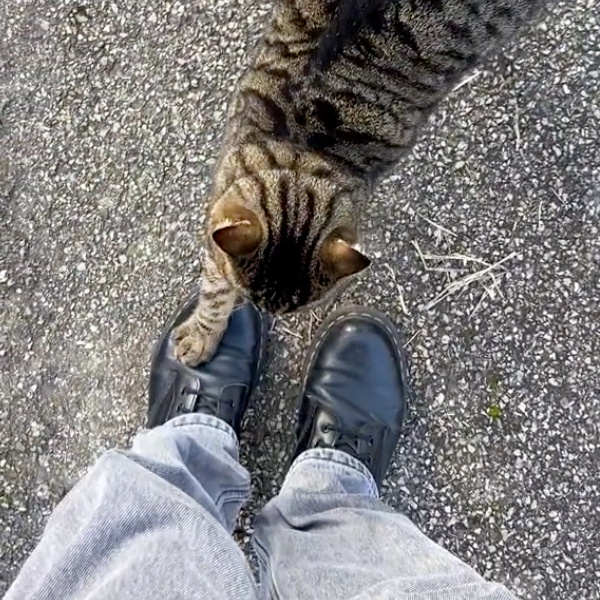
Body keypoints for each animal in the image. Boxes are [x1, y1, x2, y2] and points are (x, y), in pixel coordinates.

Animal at [172, 0, 544, 364]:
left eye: (292, 310)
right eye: (253, 298)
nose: (264, 313)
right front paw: (202, 333)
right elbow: (215, 288)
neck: (300, 148)